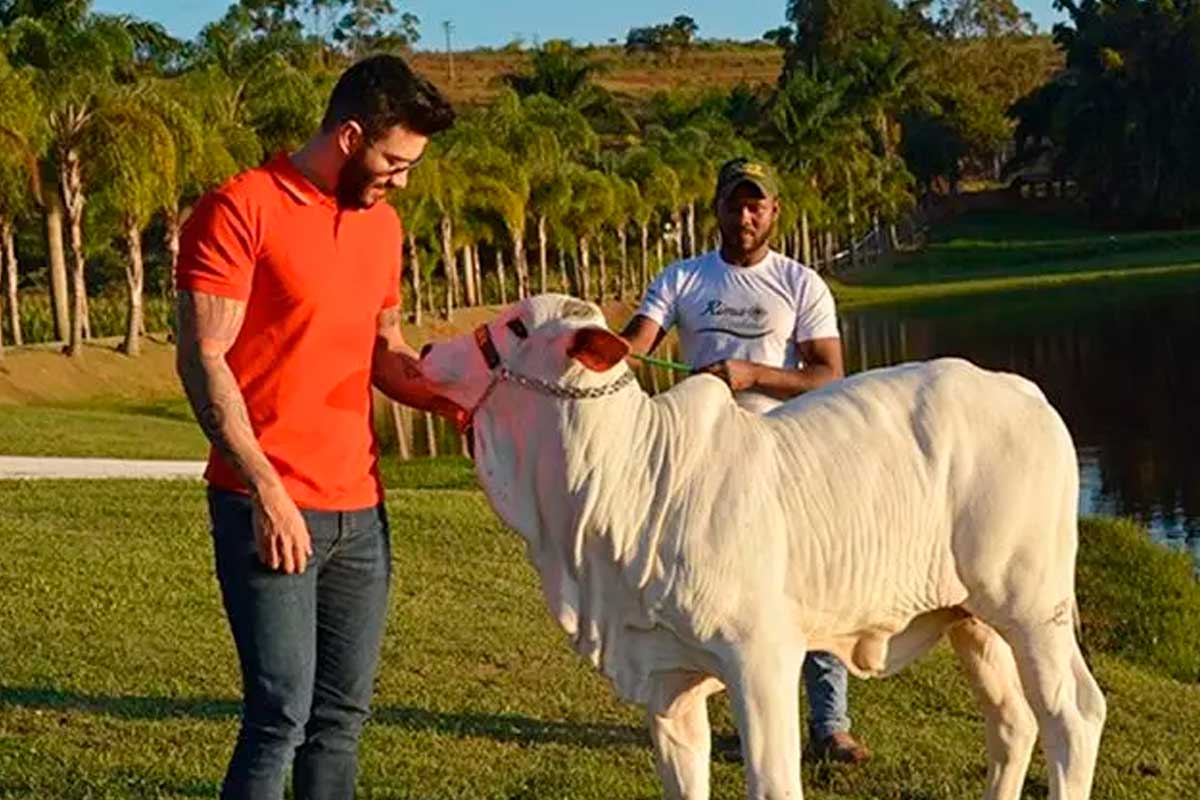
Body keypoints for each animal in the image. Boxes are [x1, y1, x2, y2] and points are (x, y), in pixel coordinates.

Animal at [420, 296, 1104, 800]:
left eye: (516, 325)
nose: (425, 349)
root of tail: (1022, 390)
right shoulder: (666, 679)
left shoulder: (762, 659)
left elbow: (773, 783)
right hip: (971, 618)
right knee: (1012, 720)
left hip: (1032, 605)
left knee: (1072, 715)